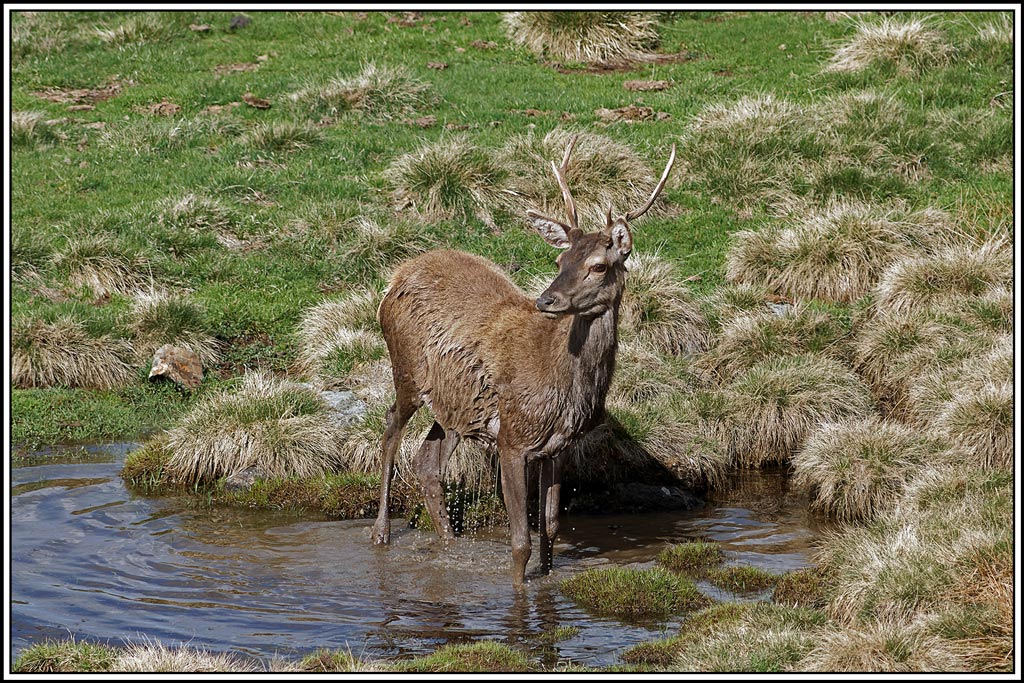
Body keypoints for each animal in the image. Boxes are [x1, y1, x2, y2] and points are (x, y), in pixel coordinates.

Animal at [371, 135, 676, 588]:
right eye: (559, 261)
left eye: (598, 265)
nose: (547, 299)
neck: (563, 384)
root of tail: (395, 278)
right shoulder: (512, 439)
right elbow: (521, 542)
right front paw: (518, 589)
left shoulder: (559, 446)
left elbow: (550, 527)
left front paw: (546, 578)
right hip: (406, 369)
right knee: (391, 429)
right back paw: (381, 533)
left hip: (455, 405)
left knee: (427, 460)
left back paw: (449, 545)